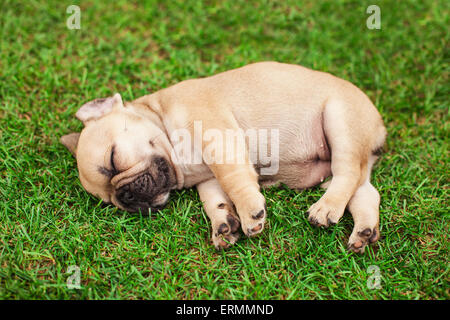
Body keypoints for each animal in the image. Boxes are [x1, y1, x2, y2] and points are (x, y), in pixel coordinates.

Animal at [60, 62, 386, 252]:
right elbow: (213, 199)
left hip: (340, 120)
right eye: (110, 202)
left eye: (114, 159)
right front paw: (223, 224)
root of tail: (379, 126)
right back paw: (363, 232)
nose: (125, 196)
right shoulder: (207, 179)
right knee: (363, 189)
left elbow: (233, 178)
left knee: (347, 175)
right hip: (345, 160)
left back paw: (325, 209)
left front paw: (250, 212)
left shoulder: (218, 138)